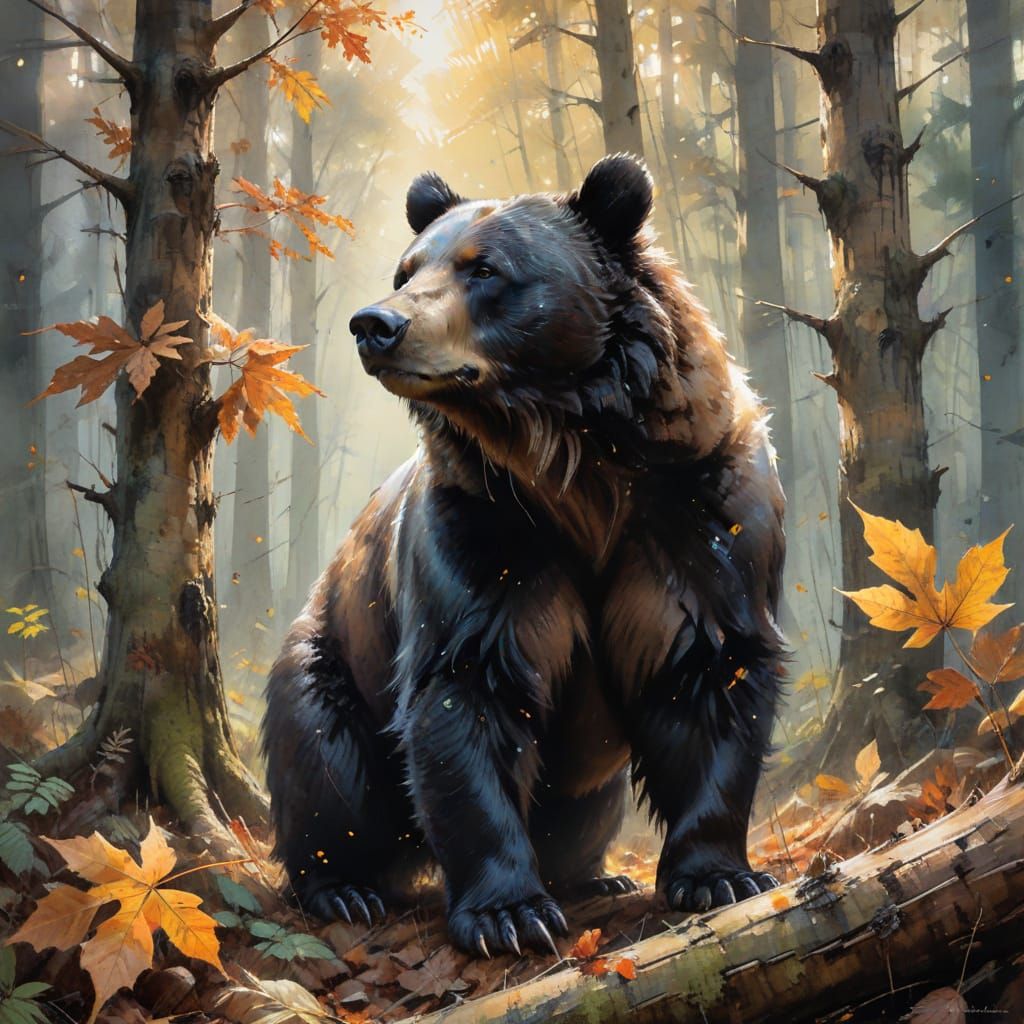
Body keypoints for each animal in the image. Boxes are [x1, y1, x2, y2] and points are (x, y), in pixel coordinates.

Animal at [262, 154, 786, 957]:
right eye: (407, 268)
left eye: (485, 270)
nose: (375, 324)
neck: (574, 460)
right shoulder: (483, 531)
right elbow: (466, 688)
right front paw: (508, 913)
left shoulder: (696, 513)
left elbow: (711, 669)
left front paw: (718, 875)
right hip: (330, 657)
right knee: (327, 767)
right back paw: (344, 887)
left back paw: (595, 875)